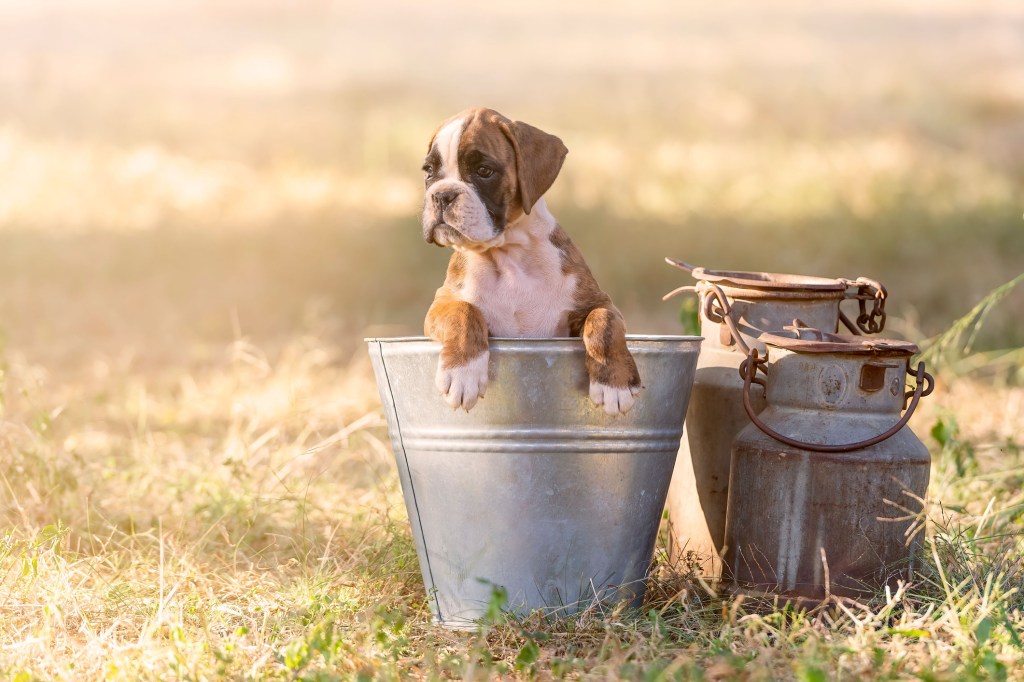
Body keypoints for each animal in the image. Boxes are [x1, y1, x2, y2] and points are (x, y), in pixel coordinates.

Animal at [419, 107, 634, 413]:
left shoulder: (599, 302)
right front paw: (462, 373)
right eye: (429, 172)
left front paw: (613, 384)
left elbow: (604, 323)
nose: (441, 195)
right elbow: (464, 312)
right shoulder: (441, 304)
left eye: (484, 171)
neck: (509, 254)